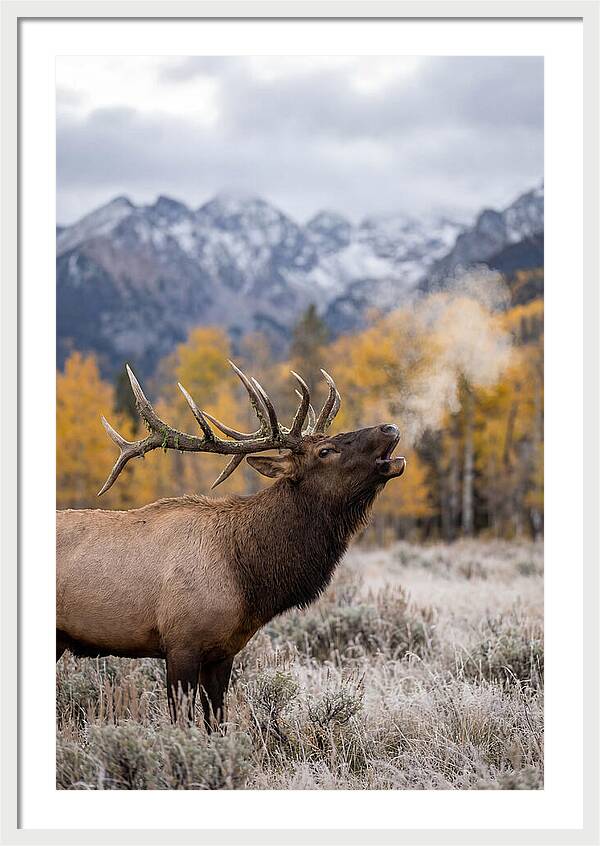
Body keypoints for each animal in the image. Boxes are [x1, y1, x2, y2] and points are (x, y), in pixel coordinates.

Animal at [56, 361, 406, 730]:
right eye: (325, 451)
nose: (389, 427)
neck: (247, 578)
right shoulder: (181, 643)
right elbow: (182, 722)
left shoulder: (224, 652)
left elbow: (217, 722)